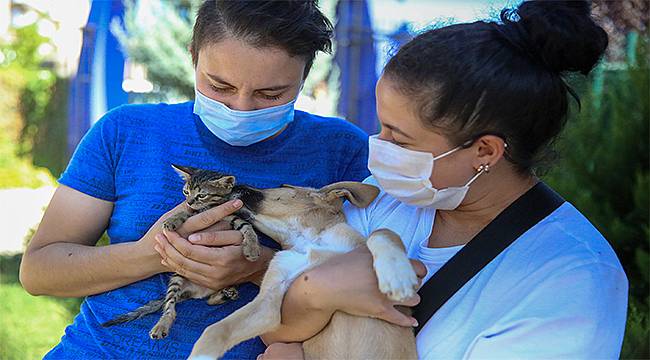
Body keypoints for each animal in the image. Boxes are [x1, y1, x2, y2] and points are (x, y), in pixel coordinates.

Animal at [102, 165, 260, 338]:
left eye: (202, 195)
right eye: (186, 192)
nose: (189, 202)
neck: (211, 207)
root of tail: (196, 291)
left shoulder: (232, 217)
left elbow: (247, 227)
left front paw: (252, 249)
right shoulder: (195, 213)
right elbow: (186, 213)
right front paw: (172, 219)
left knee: (208, 301)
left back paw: (225, 294)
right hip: (177, 278)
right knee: (170, 306)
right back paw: (162, 324)